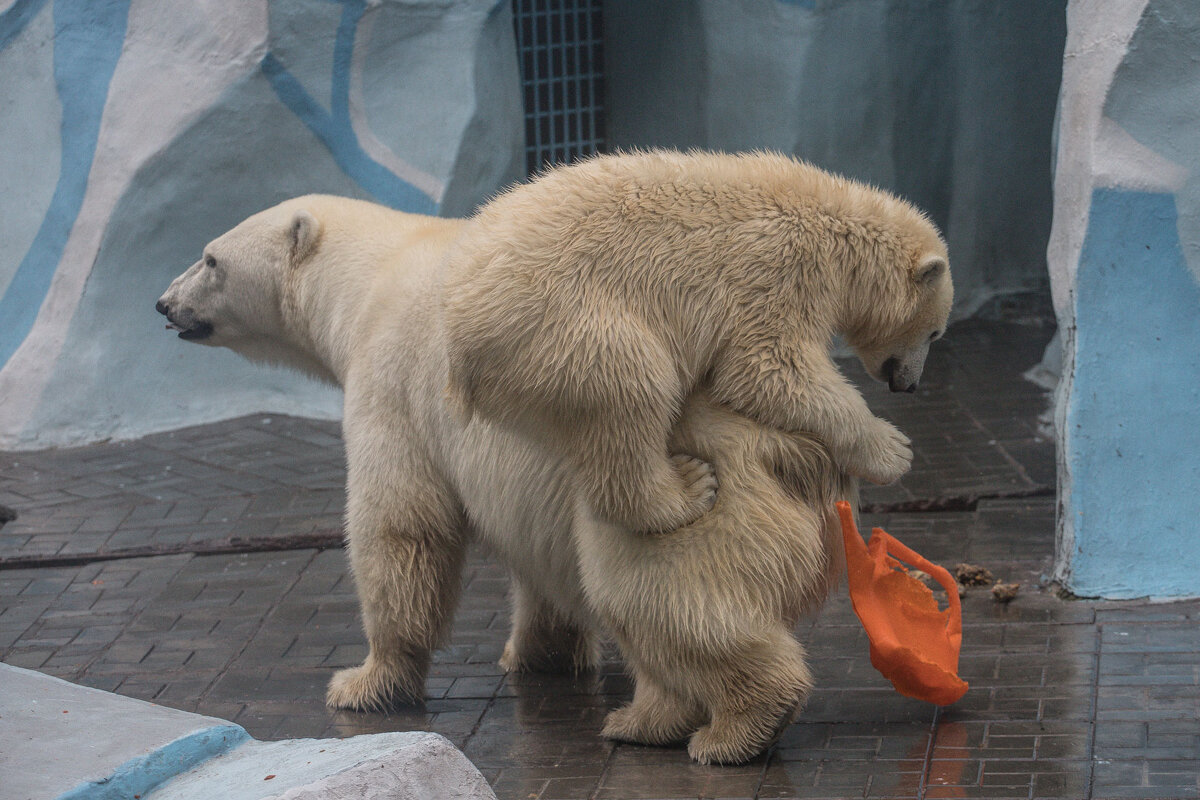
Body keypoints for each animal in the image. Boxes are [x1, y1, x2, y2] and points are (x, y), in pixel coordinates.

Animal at [154, 196, 859, 767]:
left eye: (210, 258)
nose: (163, 304)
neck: (369, 273)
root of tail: (790, 450)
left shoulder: (393, 378)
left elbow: (401, 523)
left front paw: (363, 682)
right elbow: (537, 565)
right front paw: (537, 653)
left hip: (704, 495)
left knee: (660, 593)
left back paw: (732, 729)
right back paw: (644, 719)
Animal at [446, 149, 950, 537]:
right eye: (936, 332)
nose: (908, 384)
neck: (834, 223)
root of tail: (458, 338)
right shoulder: (780, 269)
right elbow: (768, 368)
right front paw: (893, 450)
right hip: (562, 323)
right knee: (630, 387)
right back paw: (686, 489)